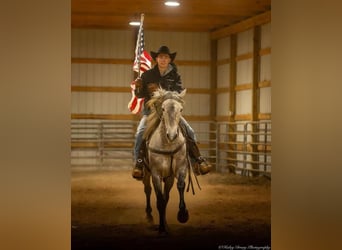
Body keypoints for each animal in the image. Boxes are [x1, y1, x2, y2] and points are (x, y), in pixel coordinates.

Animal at [142, 88, 190, 234]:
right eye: (162, 108)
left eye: (181, 109)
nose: (172, 135)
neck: (168, 145)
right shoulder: (156, 174)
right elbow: (159, 200)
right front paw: (162, 229)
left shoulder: (179, 169)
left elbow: (179, 186)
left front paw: (182, 214)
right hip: (146, 173)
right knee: (148, 190)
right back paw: (149, 217)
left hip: (168, 177)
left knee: (165, 196)